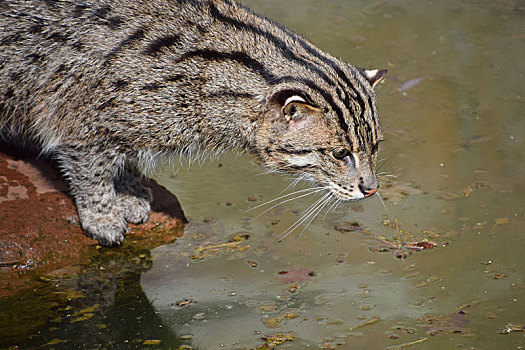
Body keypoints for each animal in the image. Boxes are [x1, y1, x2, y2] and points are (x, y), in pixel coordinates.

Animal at [0, 0, 384, 246]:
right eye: (339, 154)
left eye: (376, 146)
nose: (371, 188)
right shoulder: (79, 120)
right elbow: (91, 173)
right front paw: (103, 215)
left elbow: (121, 157)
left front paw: (130, 189)